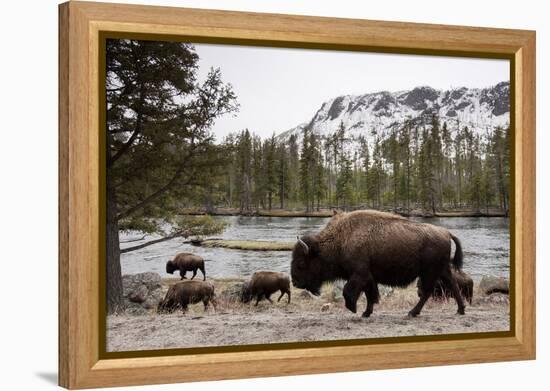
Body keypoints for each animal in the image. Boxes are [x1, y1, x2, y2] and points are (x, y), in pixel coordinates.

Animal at [292, 211, 468, 318]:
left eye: (301, 263)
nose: (295, 282)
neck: (339, 240)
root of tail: (446, 232)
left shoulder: (359, 274)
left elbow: (349, 291)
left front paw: (353, 308)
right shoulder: (369, 278)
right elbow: (370, 295)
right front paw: (365, 313)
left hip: (430, 272)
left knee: (427, 292)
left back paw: (412, 313)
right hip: (442, 270)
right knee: (451, 286)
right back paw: (459, 310)